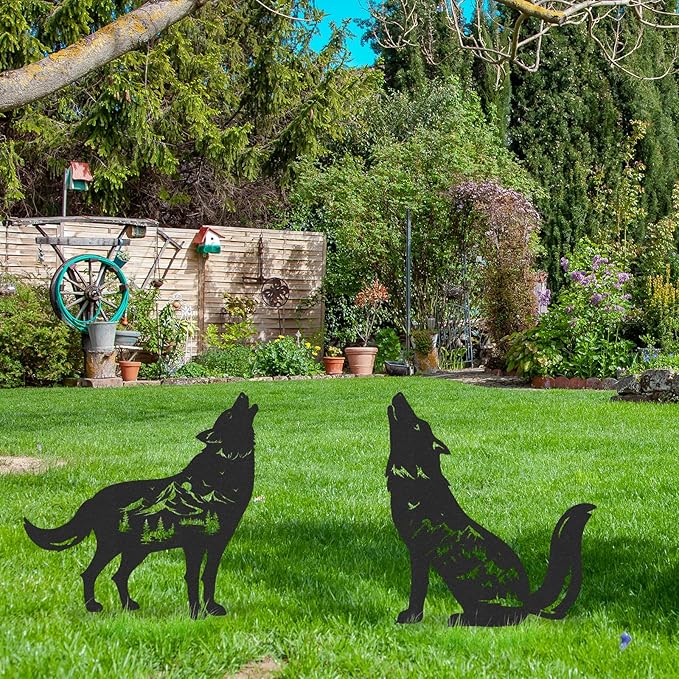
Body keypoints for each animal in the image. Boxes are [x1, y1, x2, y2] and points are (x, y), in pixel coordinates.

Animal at [24, 392, 258, 618]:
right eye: (230, 415)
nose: (242, 394)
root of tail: (93, 499)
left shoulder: (218, 543)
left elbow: (209, 577)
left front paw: (212, 609)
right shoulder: (194, 545)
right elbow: (192, 578)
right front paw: (195, 614)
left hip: (137, 550)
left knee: (118, 576)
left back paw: (128, 606)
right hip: (114, 547)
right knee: (90, 574)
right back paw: (93, 607)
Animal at [386, 392, 595, 627]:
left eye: (415, 425)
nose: (399, 395)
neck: (417, 478)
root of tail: (528, 599)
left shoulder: (419, 551)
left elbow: (418, 589)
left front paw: (411, 617)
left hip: (467, 583)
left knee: (501, 615)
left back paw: (460, 619)